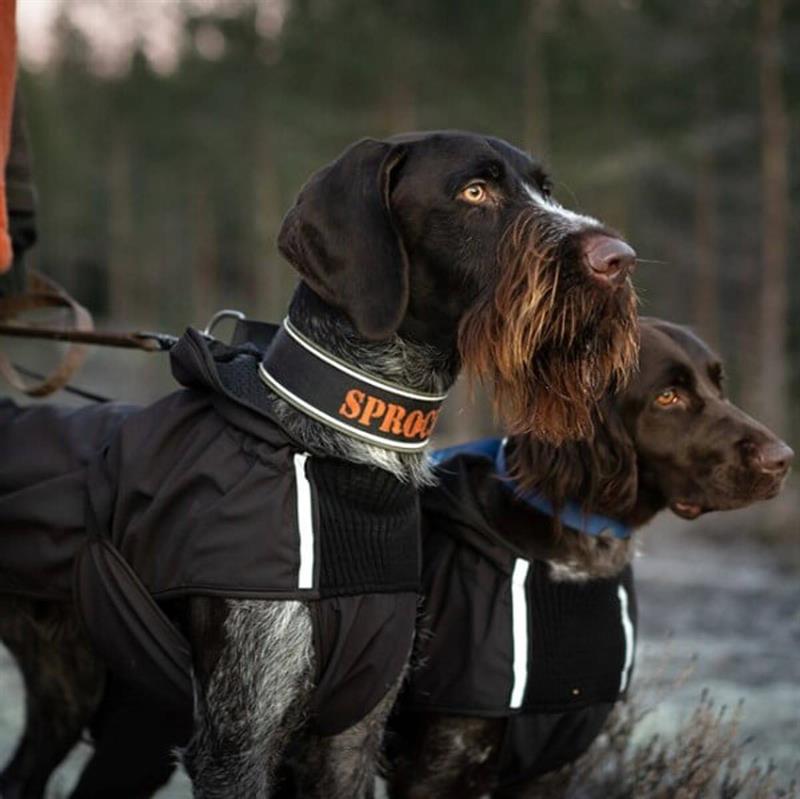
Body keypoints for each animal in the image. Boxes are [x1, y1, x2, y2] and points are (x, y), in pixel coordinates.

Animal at [388, 318, 792, 799]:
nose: (783, 459)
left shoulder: (551, 760)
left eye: (719, 384)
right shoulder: (435, 767)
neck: (577, 556)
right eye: (667, 397)